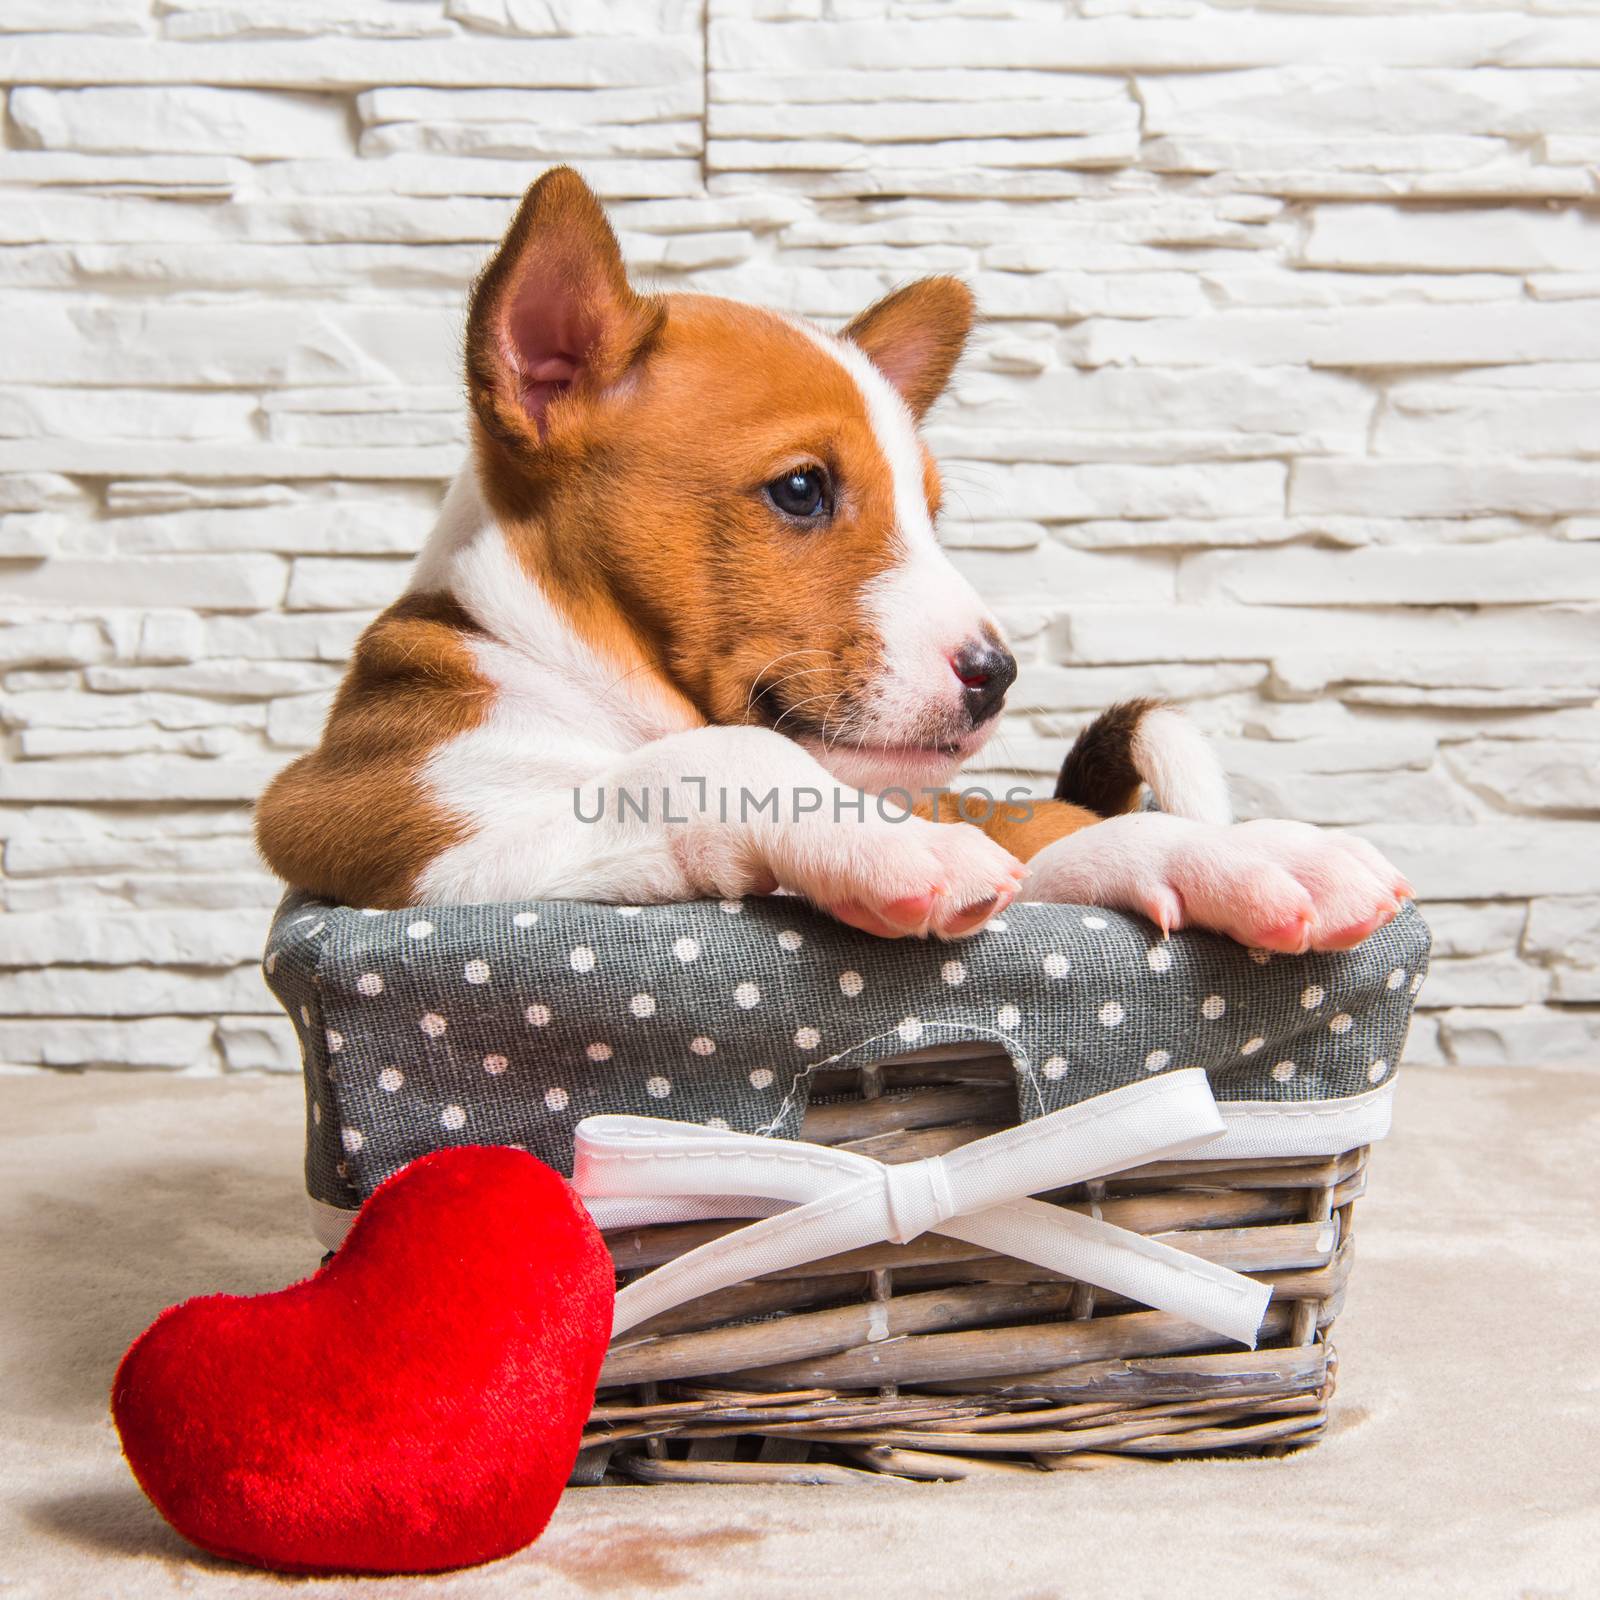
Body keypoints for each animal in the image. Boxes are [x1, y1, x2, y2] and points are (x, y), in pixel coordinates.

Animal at [259, 165, 1414, 947]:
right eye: (802, 490)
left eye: (931, 510)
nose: (997, 675)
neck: (592, 681)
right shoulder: (386, 827)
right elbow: (716, 759)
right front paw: (877, 842)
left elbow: (1054, 851)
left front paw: (1233, 858)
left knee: (1062, 822)